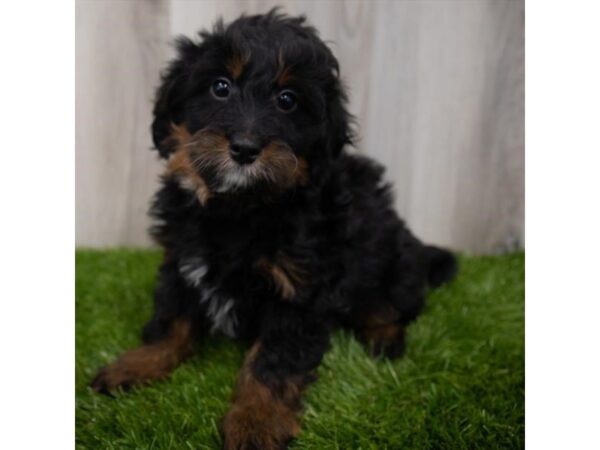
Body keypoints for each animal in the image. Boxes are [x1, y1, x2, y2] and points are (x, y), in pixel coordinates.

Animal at [91, 11, 458, 450]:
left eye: (288, 100)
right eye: (220, 87)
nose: (245, 148)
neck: (240, 207)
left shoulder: (299, 289)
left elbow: (272, 361)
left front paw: (256, 423)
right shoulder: (181, 259)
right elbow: (172, 318)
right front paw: (136, 365)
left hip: (388, 259)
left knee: (392, 305)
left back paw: (385, 338)